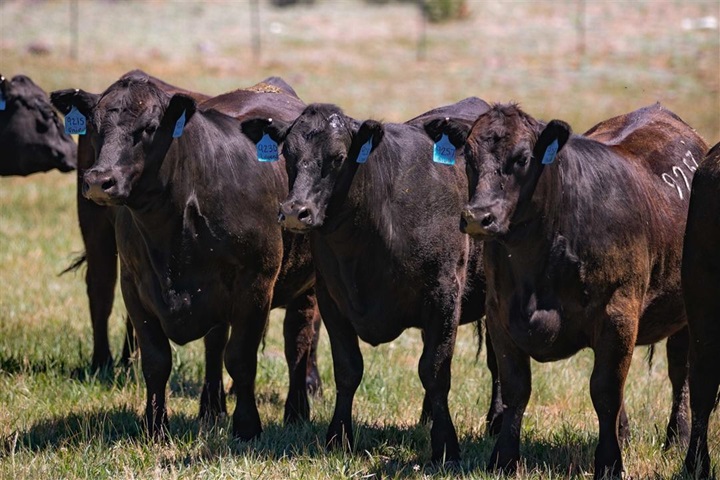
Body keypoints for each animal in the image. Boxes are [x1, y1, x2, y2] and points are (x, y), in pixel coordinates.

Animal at [50, 72, 318, 438]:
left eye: (149, 127)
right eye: (93, 125)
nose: (98, 180)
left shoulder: (256, 284)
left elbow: (241, 358)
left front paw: (247, 426)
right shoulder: (135, 284)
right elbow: (157, 359)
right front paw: (154, 425)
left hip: (307, 285)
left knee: (298, 340)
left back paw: (296, 409)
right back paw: (209, 406)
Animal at [242, 97, 496, 462]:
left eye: (337, 156)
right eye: (287, 154)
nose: (294, 211)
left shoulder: (444, 294)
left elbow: (434, 370)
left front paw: (445, 445)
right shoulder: (332, 299)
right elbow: (348, 369)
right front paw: (338, 436)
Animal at [428, 103, 708, 478]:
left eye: (523, 158)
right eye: (468, 157)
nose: (478, 216)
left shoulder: (618, 314)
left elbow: (605, 390)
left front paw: (609, 462)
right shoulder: (499, 314)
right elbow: (516, 388)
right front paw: (504, 459)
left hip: (686, 312)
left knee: (680, 374)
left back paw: (676, 439)